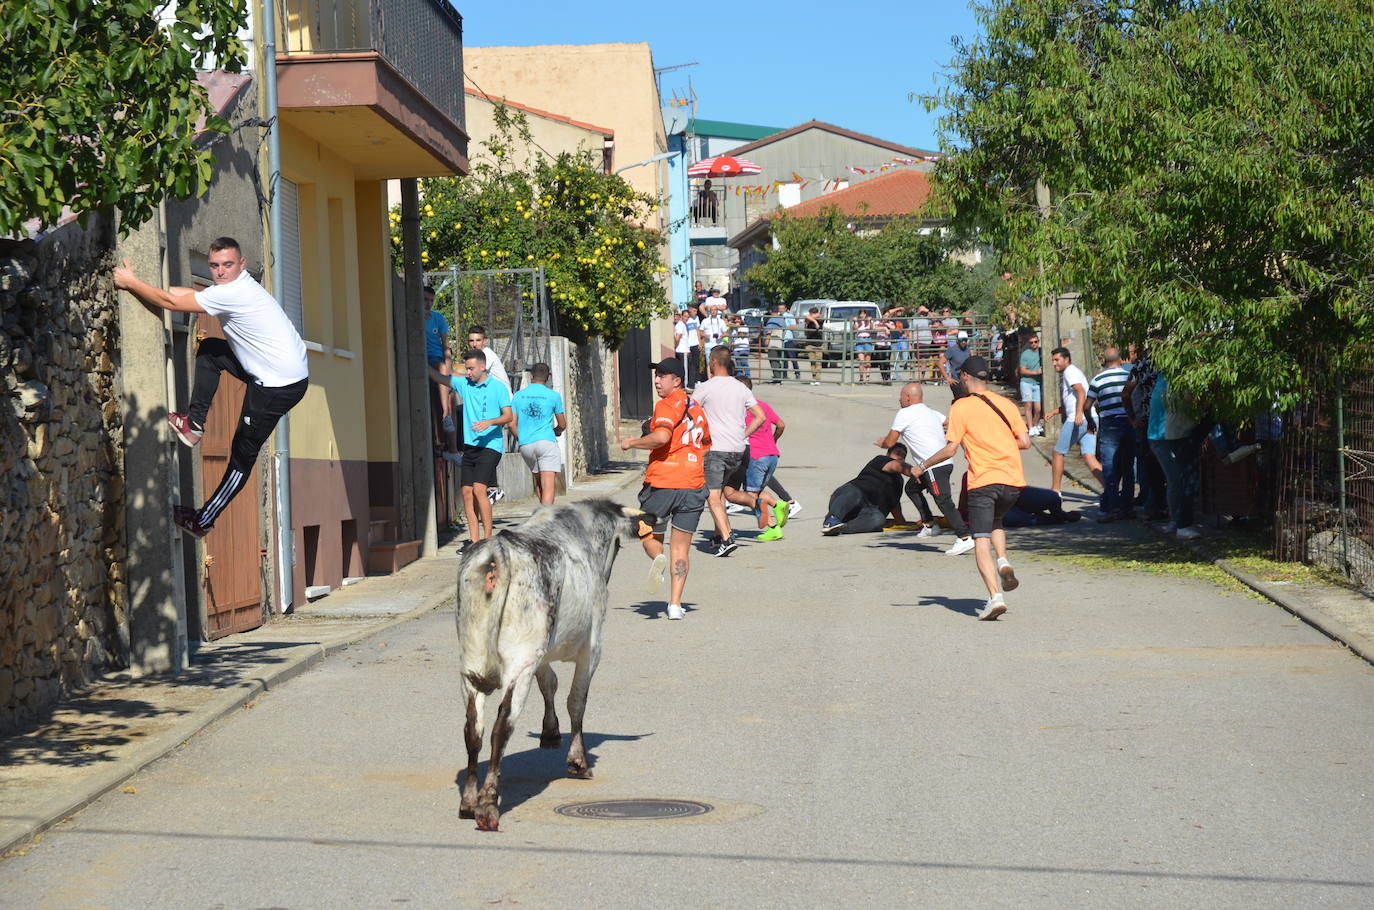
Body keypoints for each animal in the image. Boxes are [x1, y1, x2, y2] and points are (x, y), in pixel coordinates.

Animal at [453, 500, 651, 835]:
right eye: (618, 544)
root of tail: (497, 550)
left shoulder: (542, 654)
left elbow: (550, 683)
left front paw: (549, 732)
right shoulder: (591, 648)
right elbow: (577, 700)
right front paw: (578, 761)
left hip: (471, 661)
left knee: (473, 728)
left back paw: (468, 803)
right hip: (519, 663)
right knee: (501, 726)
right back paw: (488, 806)